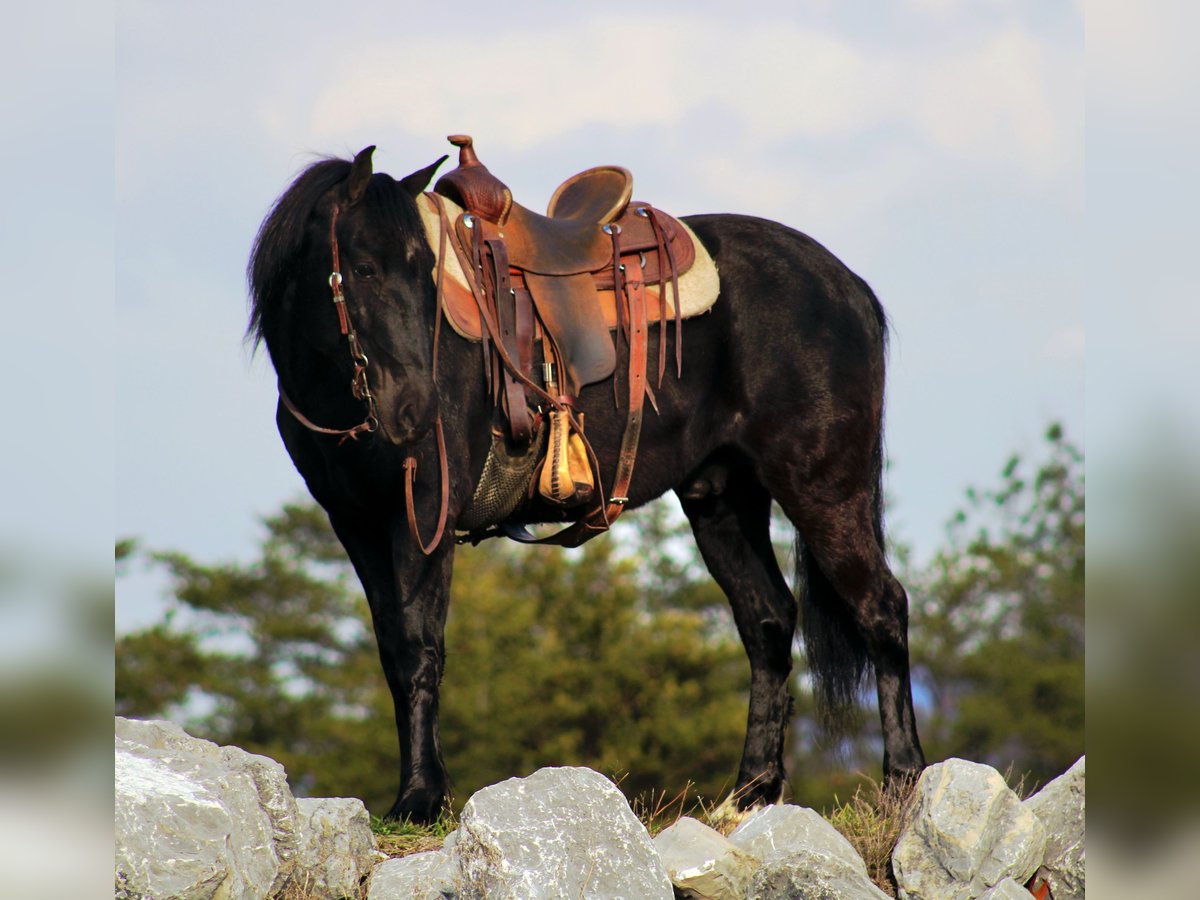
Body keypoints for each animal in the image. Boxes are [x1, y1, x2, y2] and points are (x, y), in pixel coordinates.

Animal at [247, 144, 925, 823]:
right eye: (363, 268)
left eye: (424, 273)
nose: (415, 409)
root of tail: (846, 285)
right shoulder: (356, 523)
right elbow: (392, 649)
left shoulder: (424, 514)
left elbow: (419, 648)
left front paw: (420, 798)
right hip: (722, 498)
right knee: (768, 621)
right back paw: (750, 791)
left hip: (823, 487)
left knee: (880, 608)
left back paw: (902, 780)